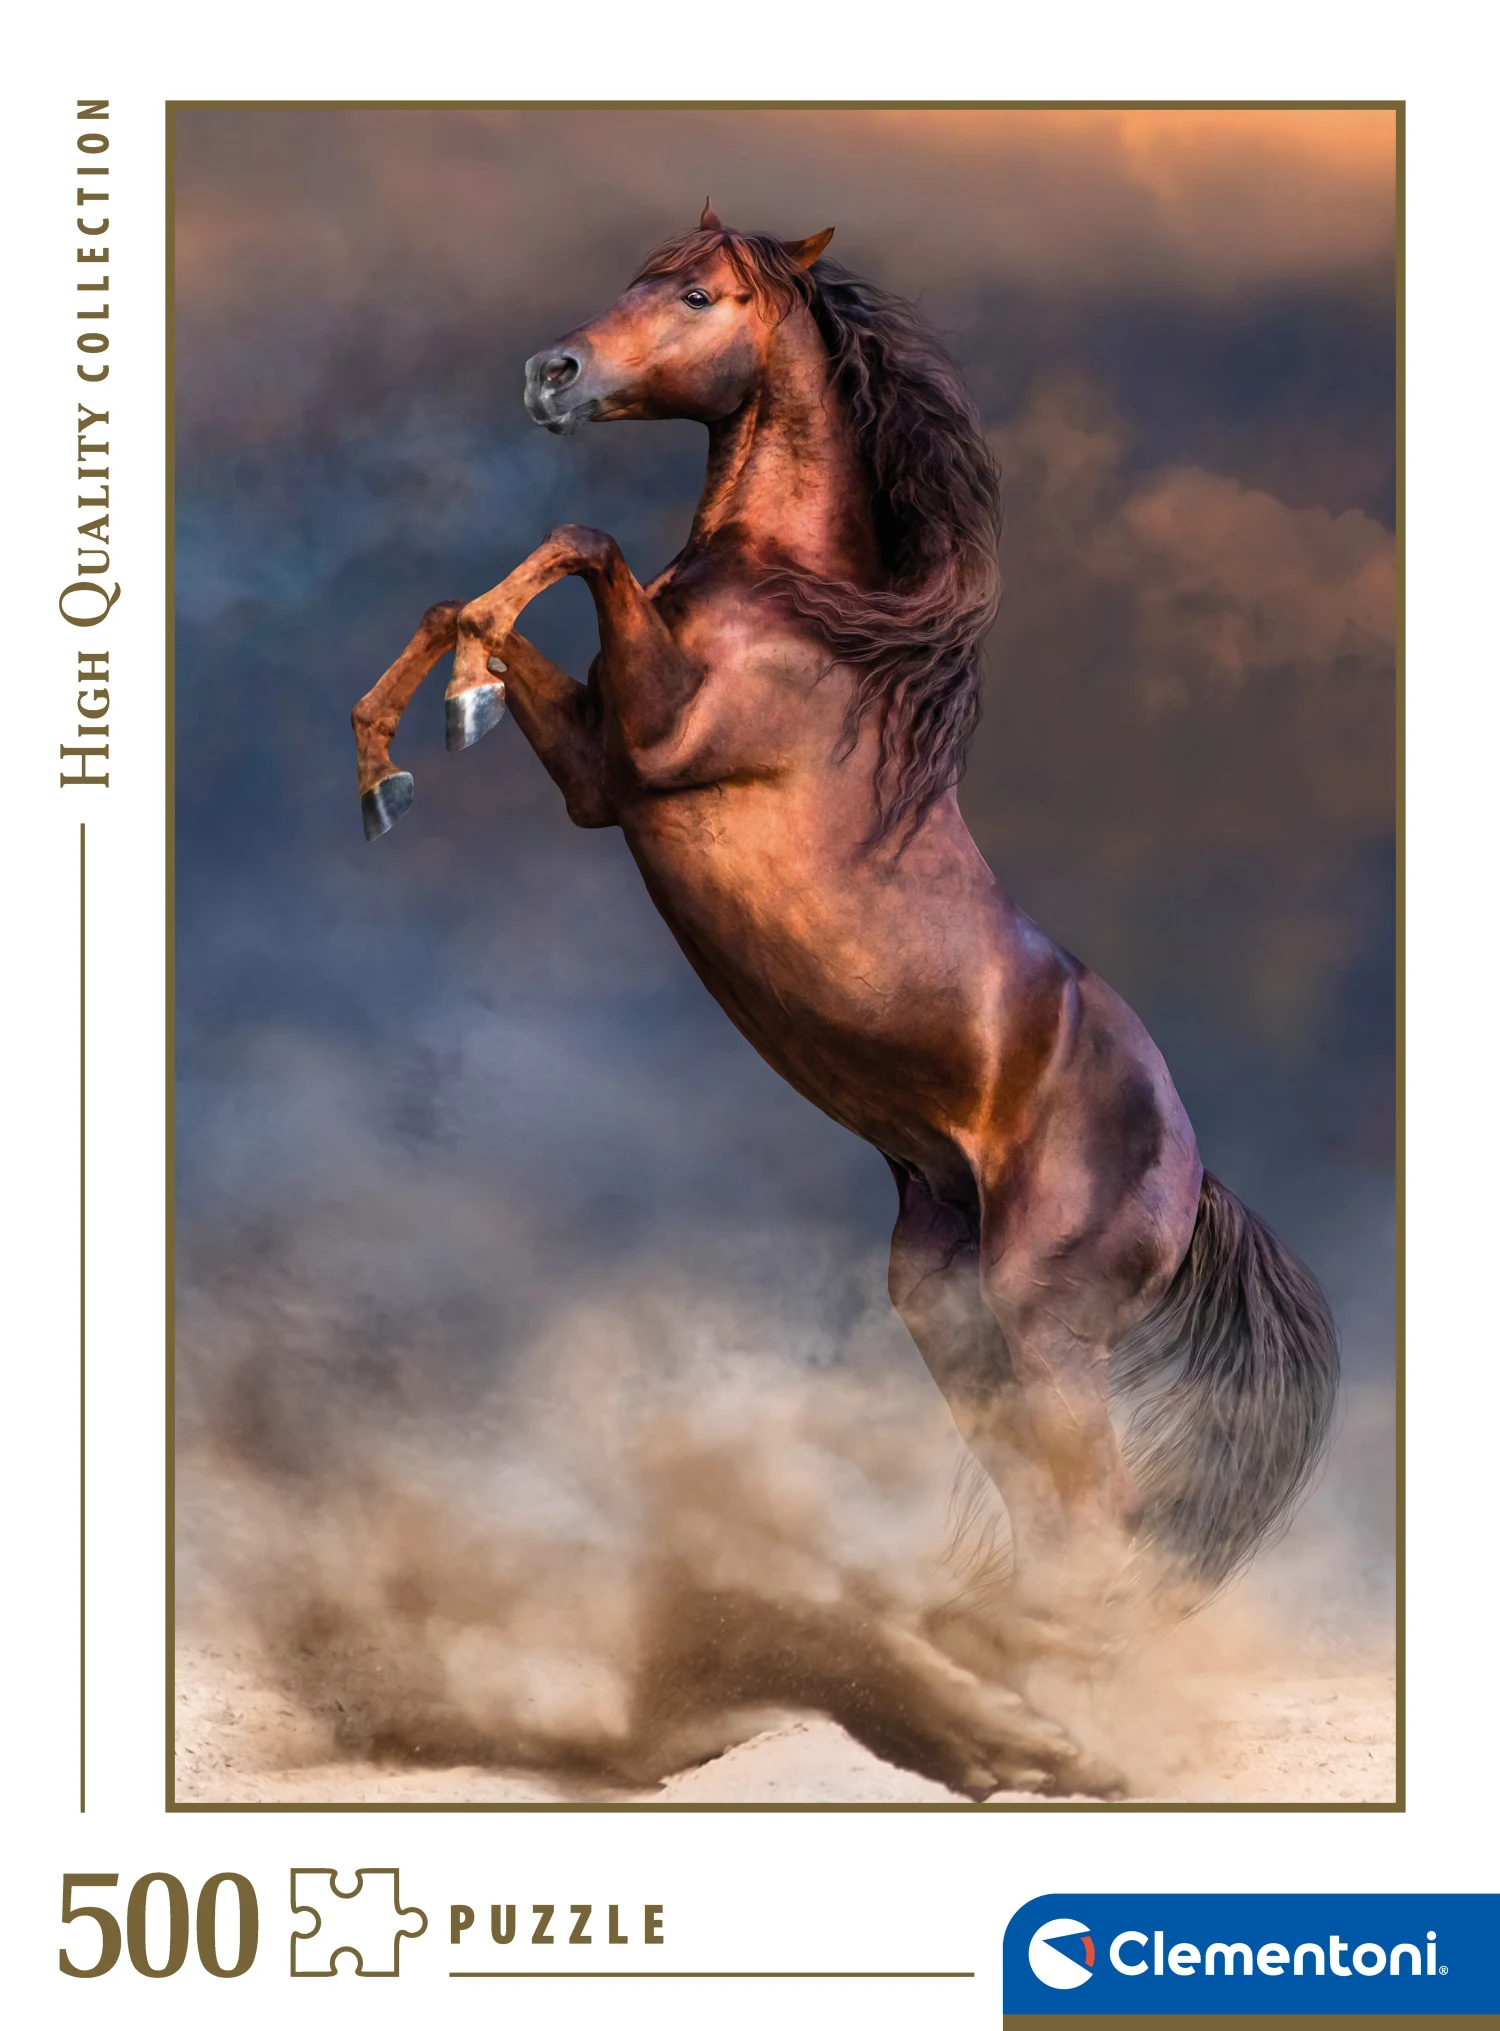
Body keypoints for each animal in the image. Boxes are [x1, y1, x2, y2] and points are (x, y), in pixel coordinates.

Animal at [349, 206, 1339, 1797]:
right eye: (635, 273)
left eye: (699, 293)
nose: (550, 373)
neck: (796, 614)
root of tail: (1193, 1175)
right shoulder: (601, 777)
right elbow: (479, 600)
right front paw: (399, 749)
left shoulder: (649, 746)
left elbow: (581, 540)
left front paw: (448, 712)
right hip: (952, 1314)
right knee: (1054, 1523)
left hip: (1048, 1323)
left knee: (1100, 1522)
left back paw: (1067, 1734)